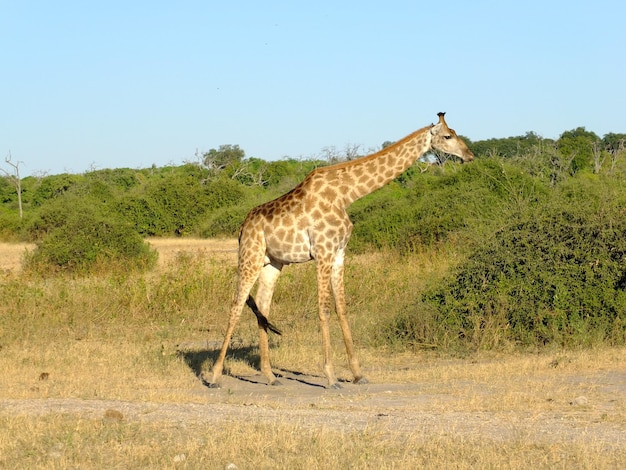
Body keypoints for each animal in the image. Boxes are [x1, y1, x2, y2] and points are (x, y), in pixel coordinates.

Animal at [205, 113, 472, 390]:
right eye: (448, 136)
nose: (470, 155)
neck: (347, 194)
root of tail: (242, 227)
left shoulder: (340, 254)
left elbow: (341, 308)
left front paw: (358, 373)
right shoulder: (323, 252)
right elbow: (323, 309)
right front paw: (331, 377)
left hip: (273, 263)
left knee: (263, 308)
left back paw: (269, 376)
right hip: (250, 256)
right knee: (236, 305)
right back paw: (214, 377)